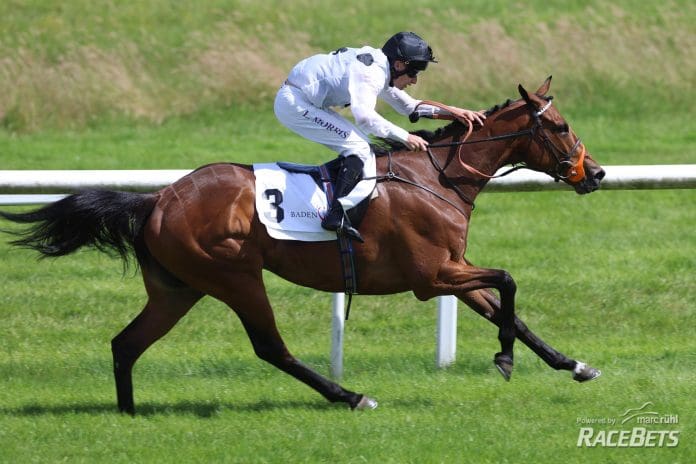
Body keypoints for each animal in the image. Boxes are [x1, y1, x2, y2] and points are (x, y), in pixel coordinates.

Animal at [0, 76, 604, 414]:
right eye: (561, 126)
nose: (595, 173)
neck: (438, 177)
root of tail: (157, 200)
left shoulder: (452, 269)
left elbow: (510, 311)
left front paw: (573, 364)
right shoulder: (431, 277)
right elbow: (508, 282)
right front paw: (504, 358)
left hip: (177, 288)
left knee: (126, 344)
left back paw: (127, 414)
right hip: (234, 276)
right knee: (271, 347)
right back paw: (351, 396)